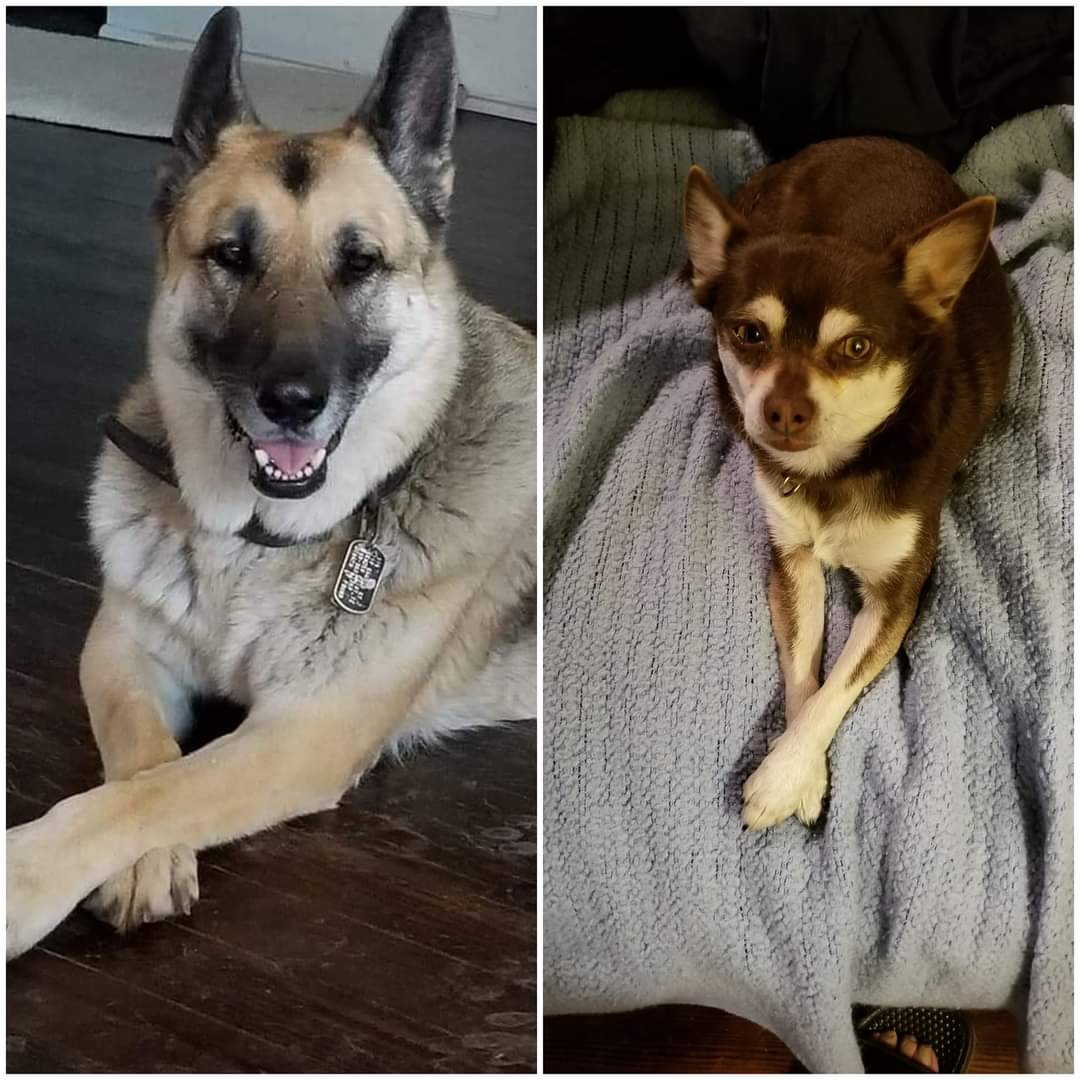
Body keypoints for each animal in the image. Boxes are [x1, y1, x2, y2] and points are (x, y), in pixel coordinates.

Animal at [7, 6, 536, 958]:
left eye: (360, 263)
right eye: (230, 255)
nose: (290, 402)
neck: (255, 541)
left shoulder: (303, 736)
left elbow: (152, 793)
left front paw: (22, 878)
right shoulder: (122, 649)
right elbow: (143, 762)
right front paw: (146, 861)